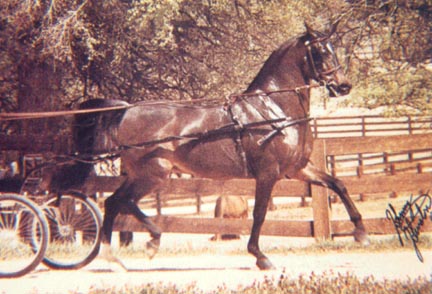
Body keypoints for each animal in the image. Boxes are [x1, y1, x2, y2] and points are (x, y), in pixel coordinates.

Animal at [64, 22, 368, 272]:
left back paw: (116, 257)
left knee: (115, 202)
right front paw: (260, 257)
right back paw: (149, 242)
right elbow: (259, 214)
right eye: (320, 52)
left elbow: (339, 184)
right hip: (153, 173)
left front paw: (361, 232)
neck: (273, 109)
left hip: (145, 175)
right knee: (121, 202)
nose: (344, 86)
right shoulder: (268, 173)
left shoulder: (298, 169)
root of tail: (126, 110)